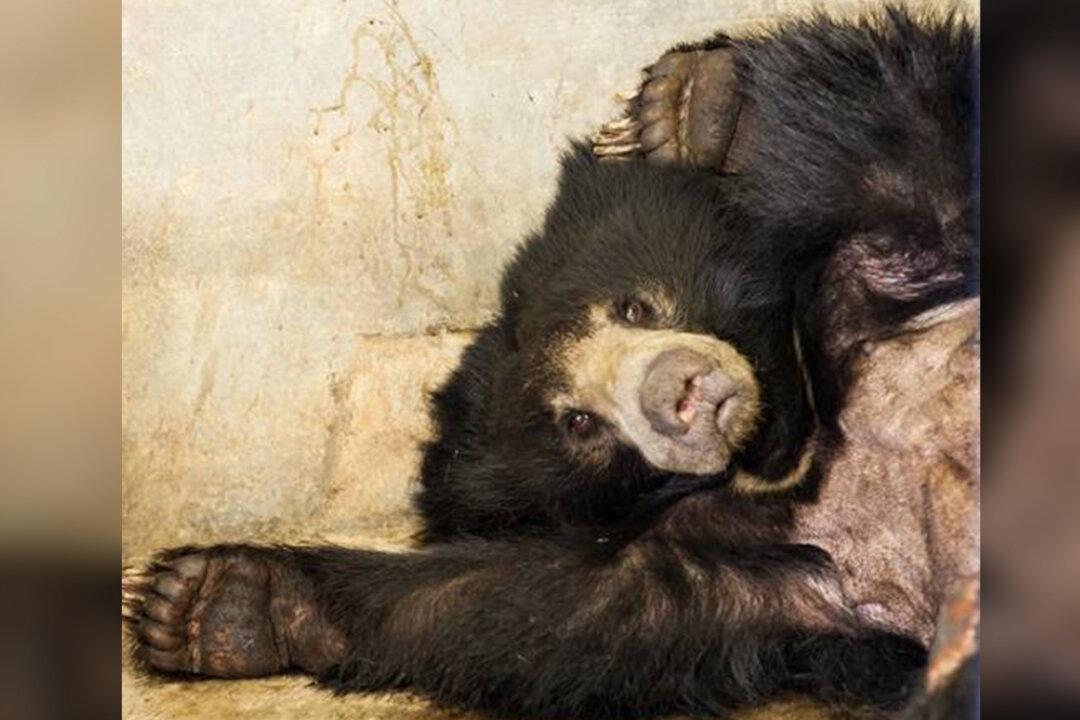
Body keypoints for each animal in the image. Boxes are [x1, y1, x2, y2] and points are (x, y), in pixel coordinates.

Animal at [123, 7, 977, 719]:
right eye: (580, 423)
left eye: (635, 308)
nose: (680, 394)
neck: (795, 442)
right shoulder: (790, 564)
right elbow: (562, 607)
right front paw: (208, 605)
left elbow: (925, 148)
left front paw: (691, 108)